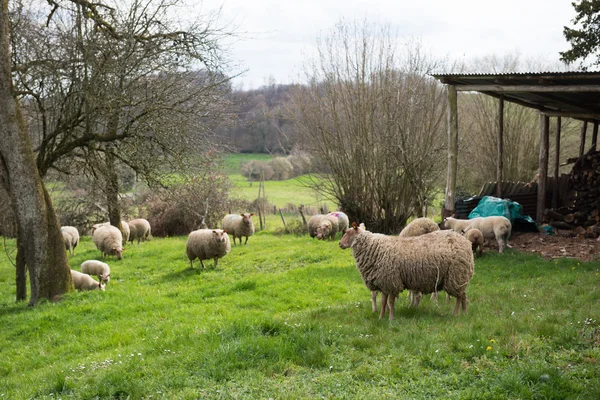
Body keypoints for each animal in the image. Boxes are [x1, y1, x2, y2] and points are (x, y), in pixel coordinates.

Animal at [342, 223, 474, 320]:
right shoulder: (384, 282)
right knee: (463, 294)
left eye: (348, 232)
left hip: (456, 274)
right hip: (459, 276)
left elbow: (390, 302)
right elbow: (384, 302)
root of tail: (466, 242)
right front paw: (381, 317)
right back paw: (464, 313)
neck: (375, 248)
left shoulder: (392, 281)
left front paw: (391, 318)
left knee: (459, 296)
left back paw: (456, 313)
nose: (340, 244)